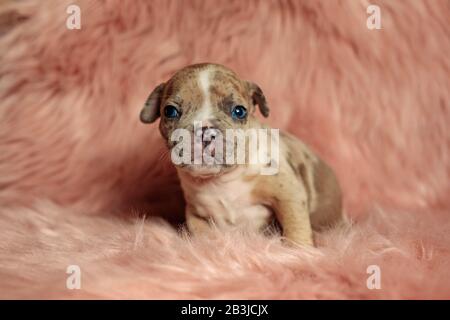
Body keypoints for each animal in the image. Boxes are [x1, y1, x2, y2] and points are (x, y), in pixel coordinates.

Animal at [140, 63, 342, 246]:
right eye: (170, 111)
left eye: (239, 111)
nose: (205, 131)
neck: (221, 180)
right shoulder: (196, 214)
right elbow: (203, 235)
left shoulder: (289, 195)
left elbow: (295, 226)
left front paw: (299, 250)